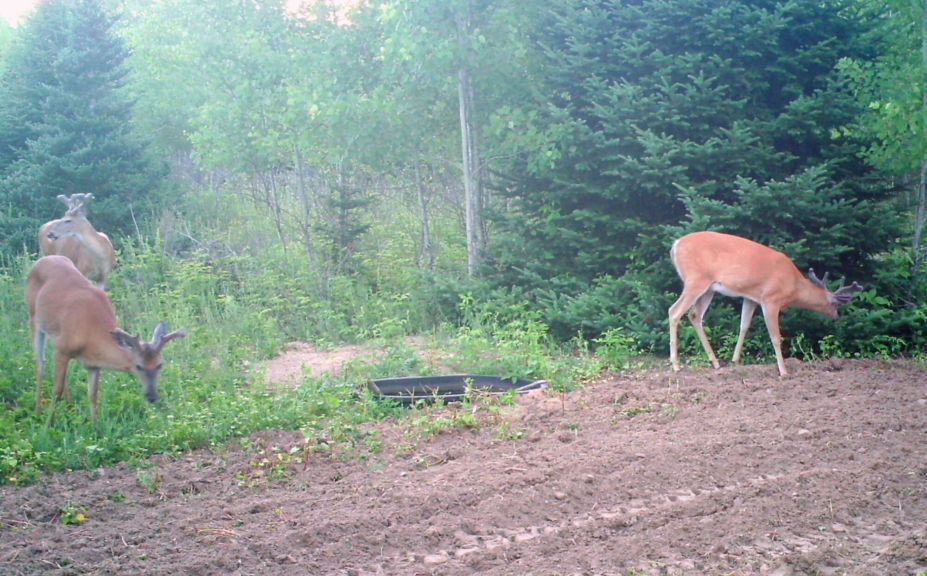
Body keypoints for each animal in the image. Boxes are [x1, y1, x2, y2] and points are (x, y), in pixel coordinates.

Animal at [28, 254, 187, 420]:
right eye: (138, 366)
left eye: (160, 364)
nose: (153, 397)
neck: (89, 334)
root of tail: (44, 259)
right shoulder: (63, 349)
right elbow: (56, 391)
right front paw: (49, 423)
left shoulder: (93, 364)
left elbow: (93, 395)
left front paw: (94, 424)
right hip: (34, 319)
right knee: (41, 365)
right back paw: (38, 411)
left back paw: (71, 406)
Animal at [668, 232, 864, 376]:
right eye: (835, 305)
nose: (837, 317)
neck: (793, 286)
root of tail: (675, 245)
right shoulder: (771, 299)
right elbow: (776, 336)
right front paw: (783, 371)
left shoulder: (751, 298)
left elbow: (744, 326)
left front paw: (735, 361)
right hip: (695, 280)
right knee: (674, 311)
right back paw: (676, 365)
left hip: (709, 288)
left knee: (695, 315)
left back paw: (715, 363)